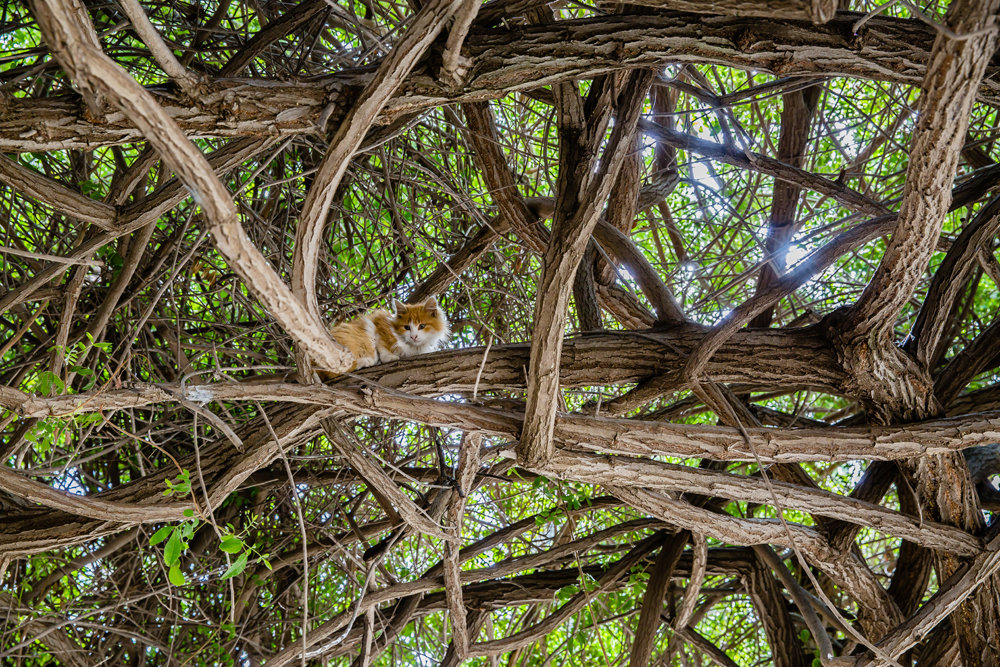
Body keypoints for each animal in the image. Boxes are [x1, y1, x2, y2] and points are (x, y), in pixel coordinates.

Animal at [322, 294, 452, 374]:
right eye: (407, 327)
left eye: (422, 326)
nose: (413, 336)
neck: (413, 347)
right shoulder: (379, 323)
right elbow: (383, 345)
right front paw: (390, 357)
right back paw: (366, 361)